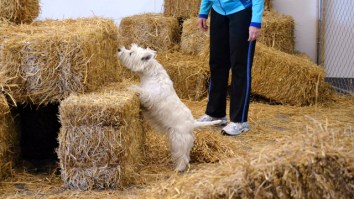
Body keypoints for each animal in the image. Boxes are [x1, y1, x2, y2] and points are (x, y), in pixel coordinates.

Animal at [117, 44, 223, 172]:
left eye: (131, 53)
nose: (119, 49)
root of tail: (193, 123)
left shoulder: (149, 96)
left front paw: (130, 87)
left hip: (178, 139)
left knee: (183, 157)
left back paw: (178, 169)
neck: (150, 73)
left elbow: (141, 91)